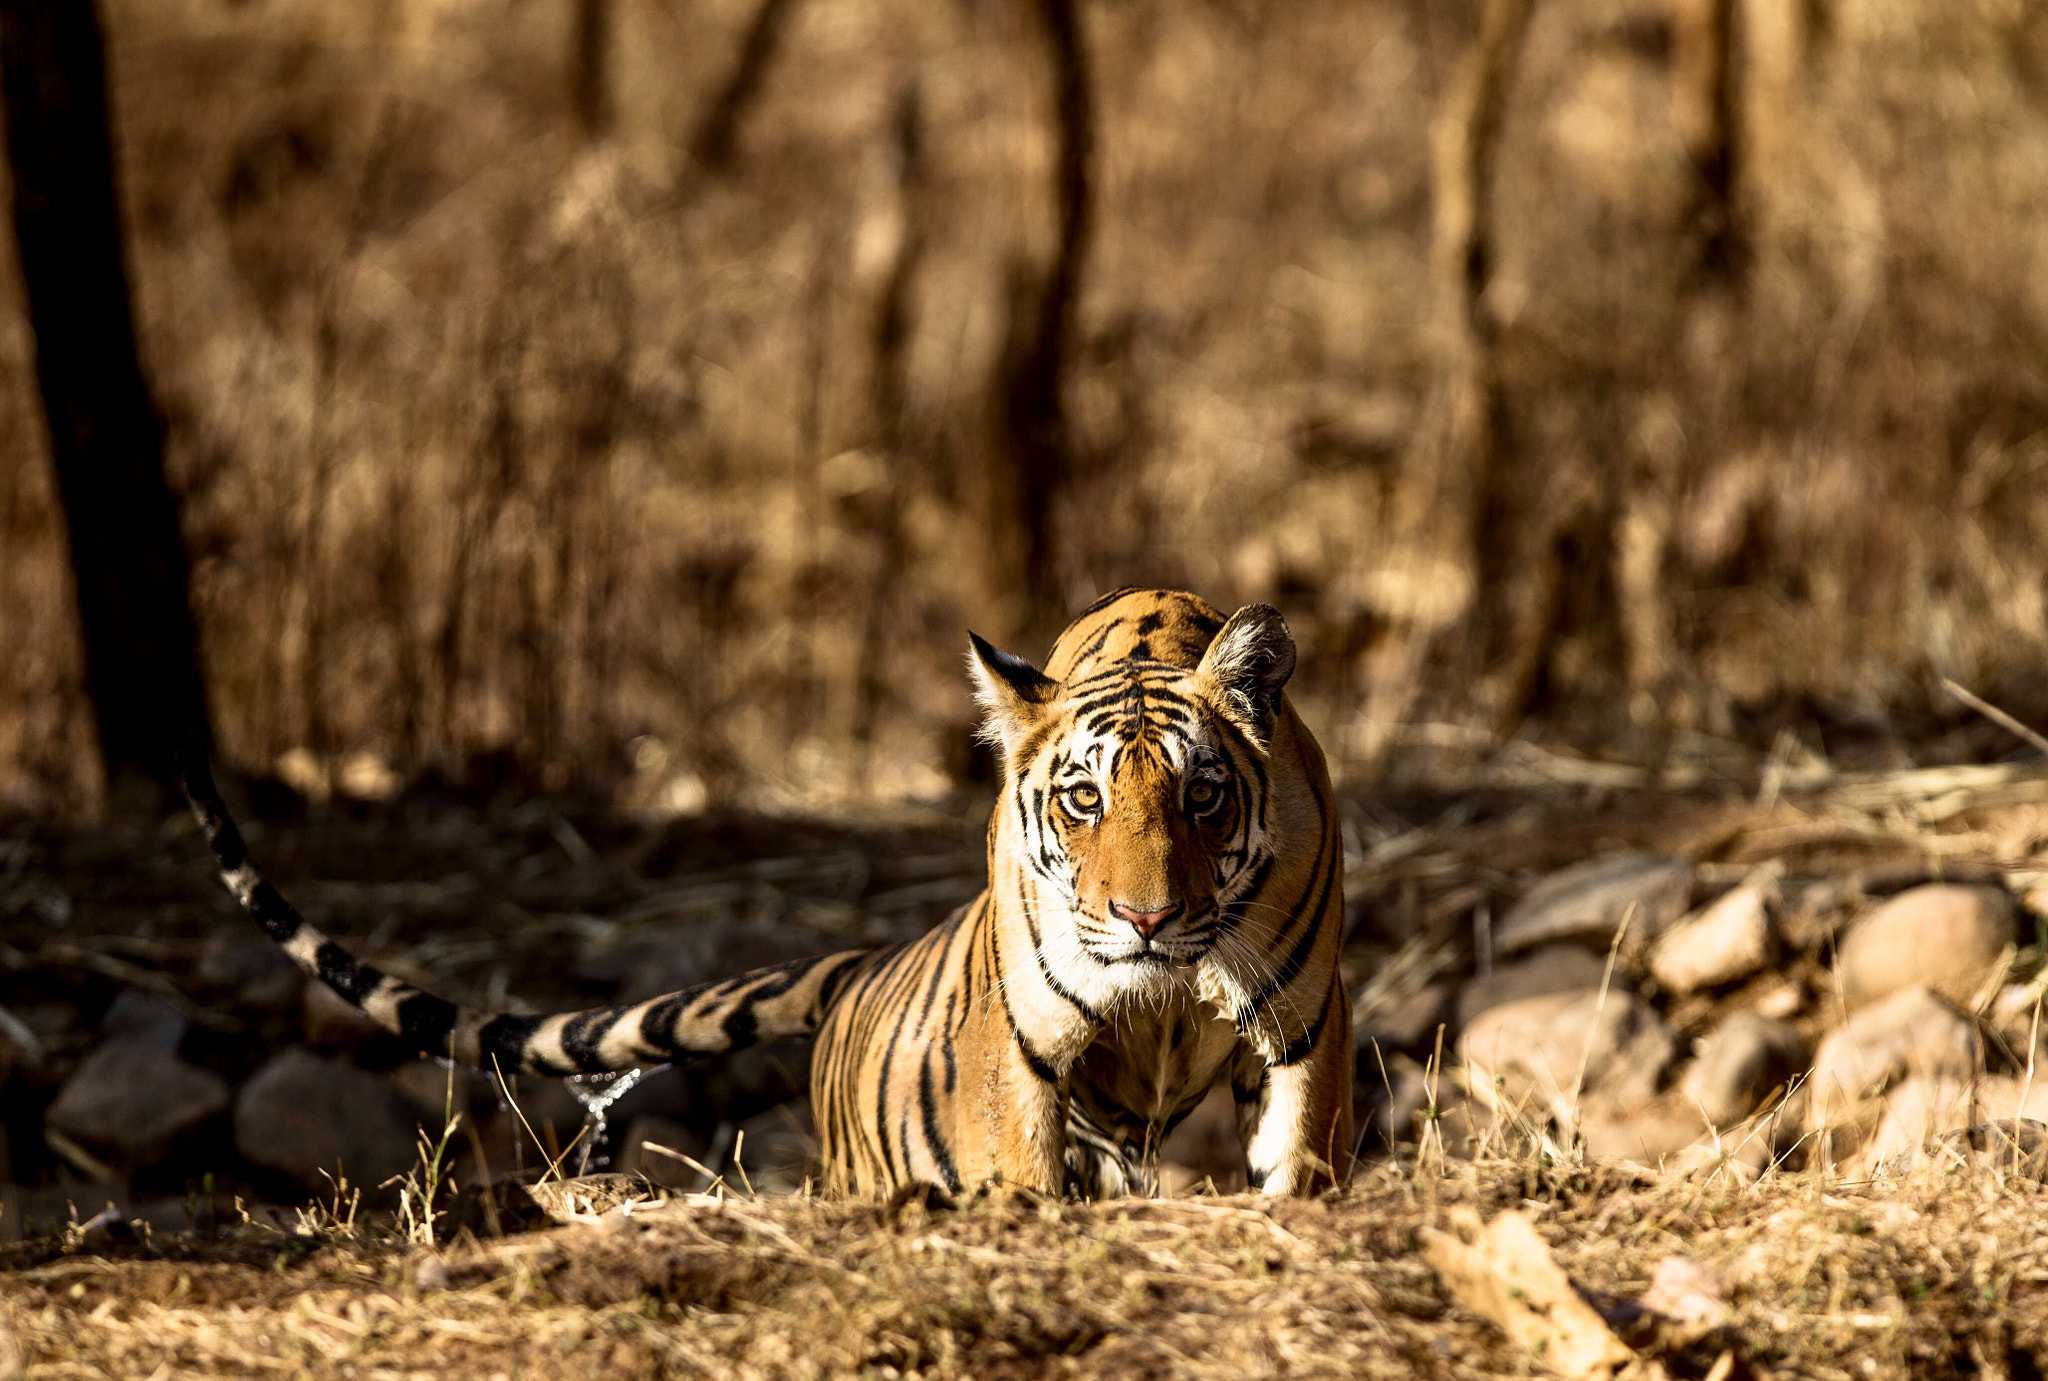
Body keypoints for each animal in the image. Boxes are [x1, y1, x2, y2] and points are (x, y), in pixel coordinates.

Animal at [184, 586, 1351, 1188]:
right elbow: (1022, 1155)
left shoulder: (1296, 1025)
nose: (1146, 919)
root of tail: (861, 970)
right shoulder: (1031, 1049)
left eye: (1203, 796)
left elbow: (1295, 1153)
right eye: (1081, 800)